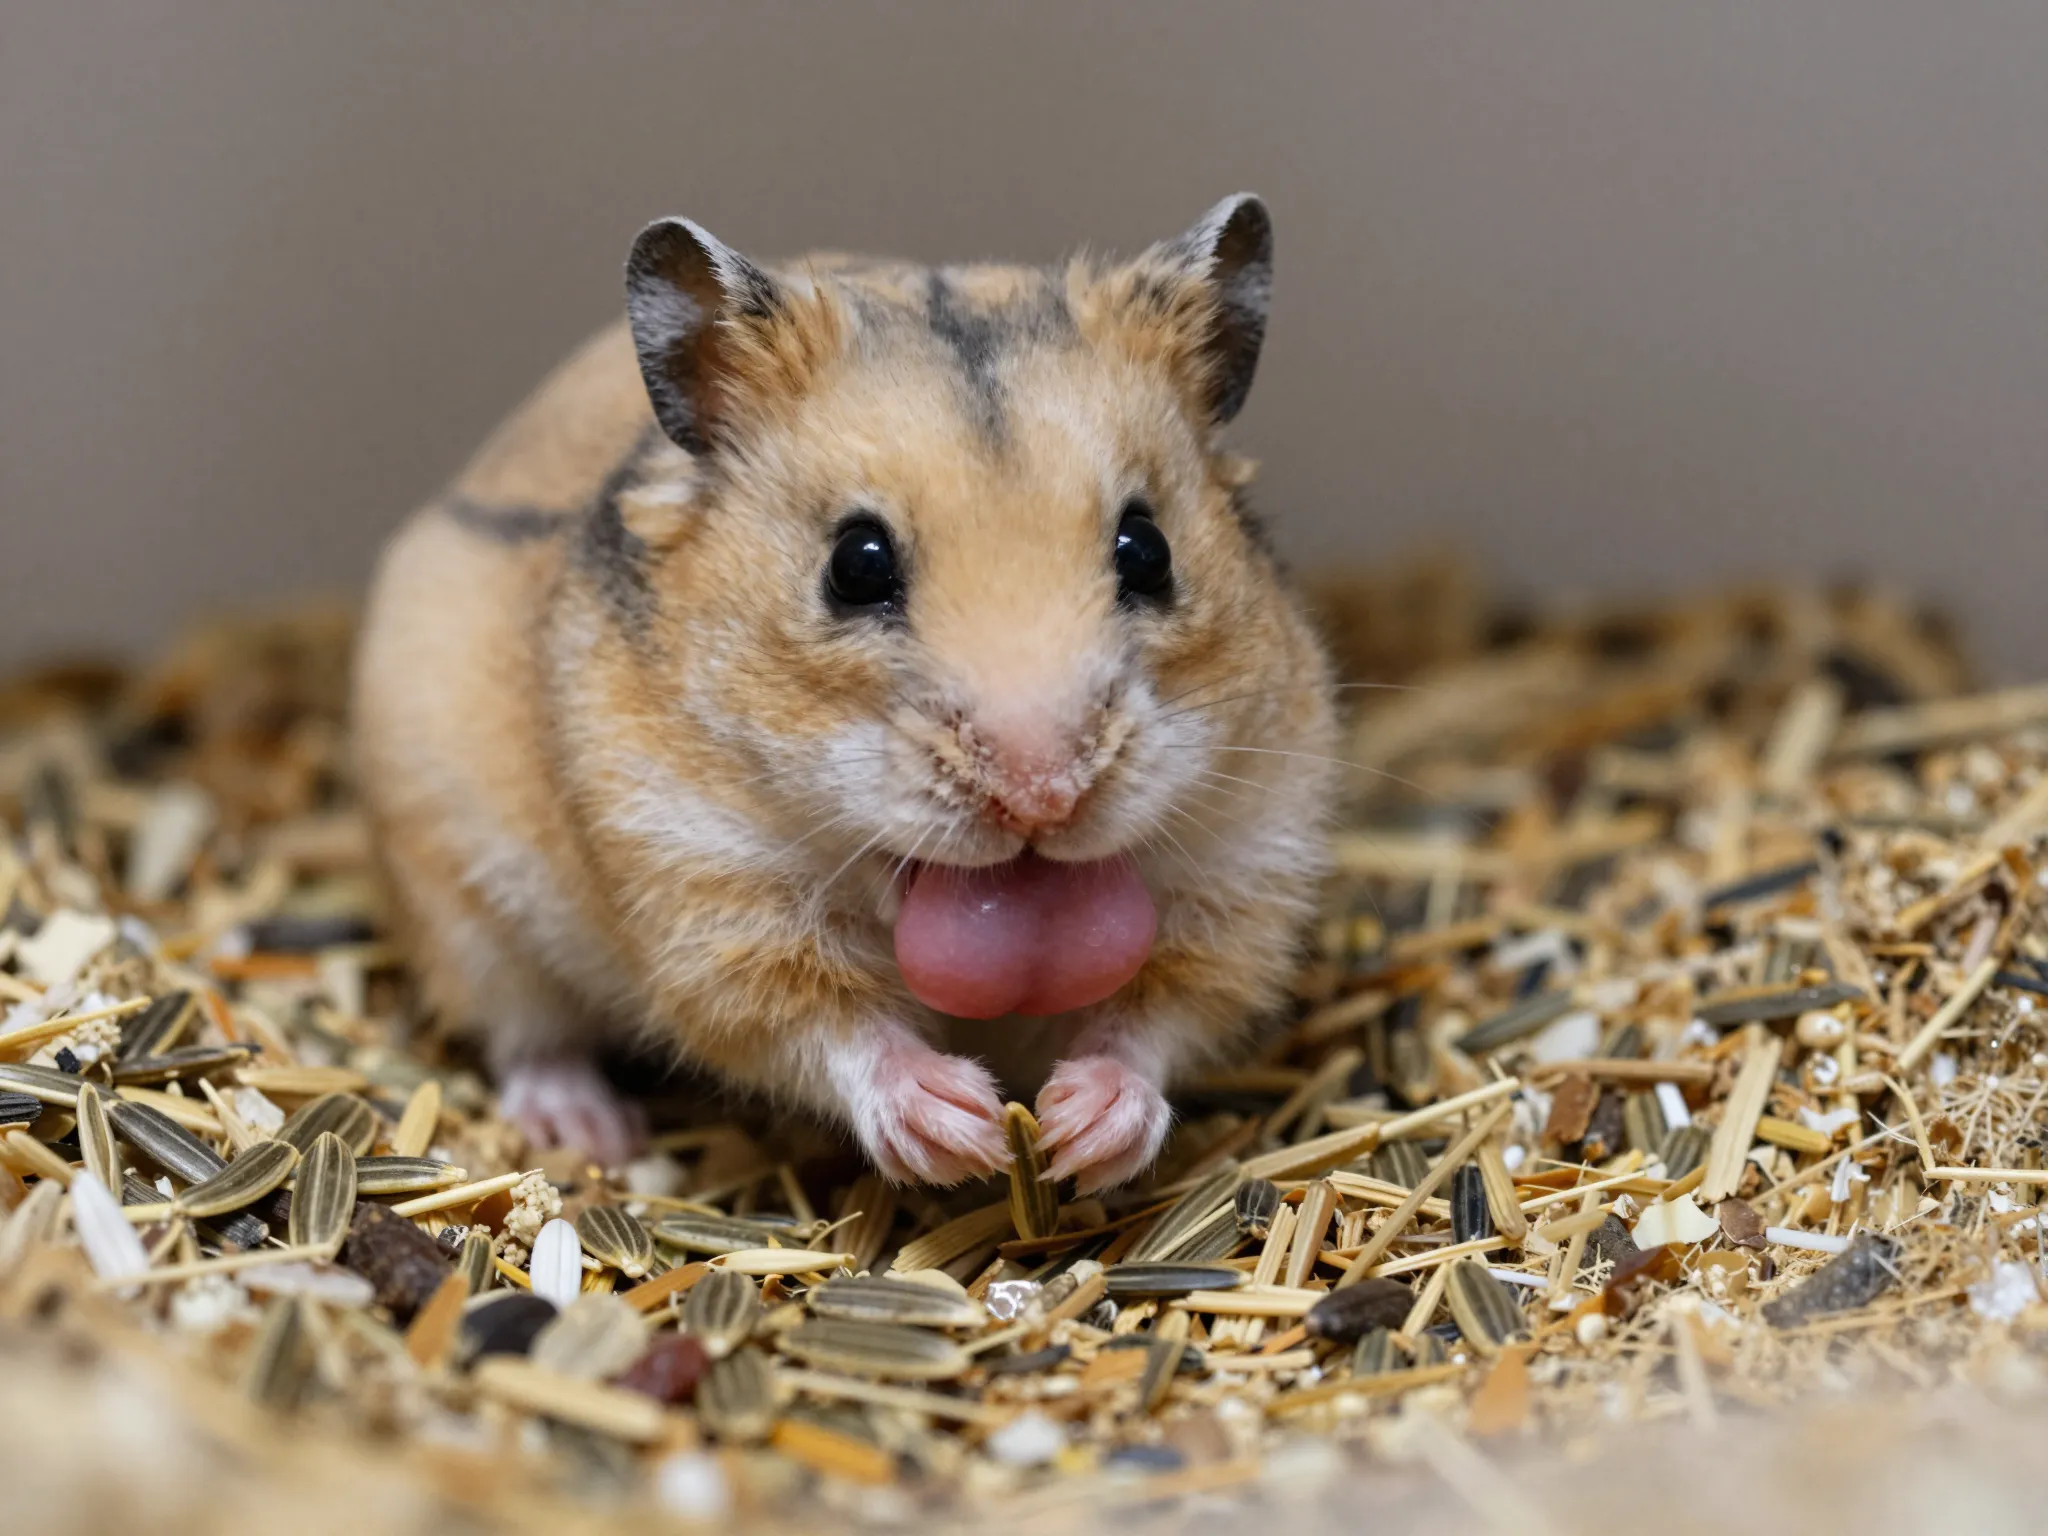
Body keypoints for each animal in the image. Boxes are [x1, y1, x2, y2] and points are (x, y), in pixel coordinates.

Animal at [352, 194, 1339, 1190]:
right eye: (855, 566)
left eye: (1149, 551)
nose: (1042, 797)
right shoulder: (704, 898)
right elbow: (825, 1024)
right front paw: (964, 1130)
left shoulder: (1246, 875)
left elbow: (1158, 1019)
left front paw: (1075, 1132)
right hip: (463, 907)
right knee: (529, 1037)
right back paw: (590, 1132)